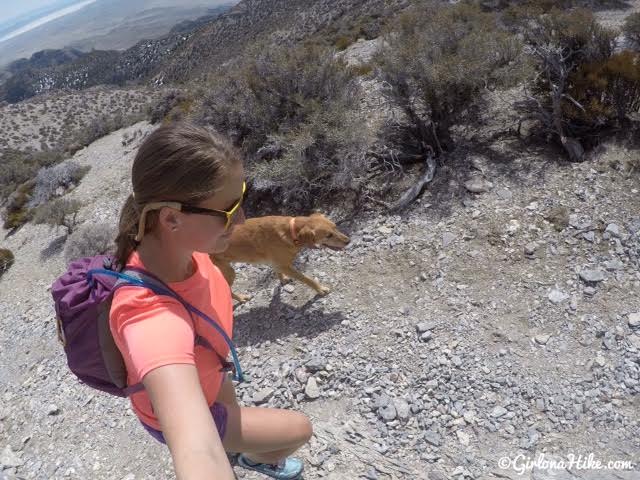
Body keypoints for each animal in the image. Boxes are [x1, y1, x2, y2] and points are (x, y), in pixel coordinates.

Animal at [211, 213, 350, 302]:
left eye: (335, 226)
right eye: (328, 235)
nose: (348, 241)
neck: (291, 232)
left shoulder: (278, 264)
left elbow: (278, 272)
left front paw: (283, 280)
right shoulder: (284, 265)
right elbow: (307, 279)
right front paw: (320, 289)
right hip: (229, 272)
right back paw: (241, 298)